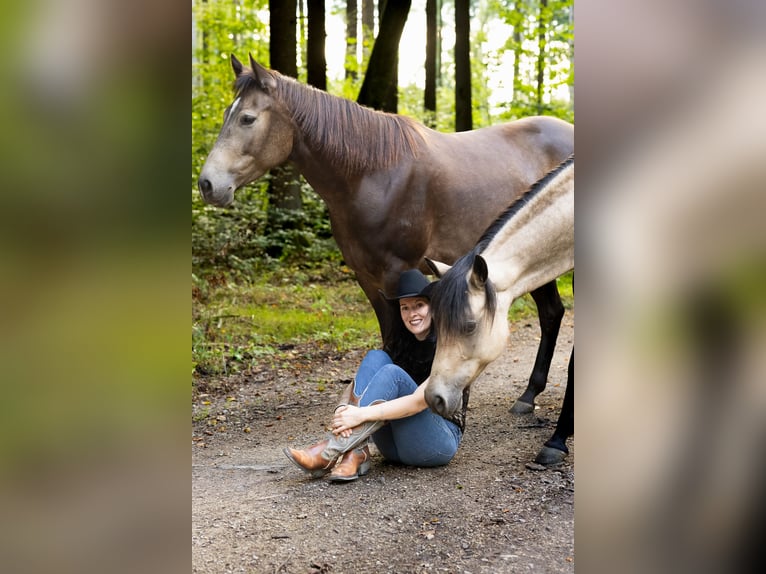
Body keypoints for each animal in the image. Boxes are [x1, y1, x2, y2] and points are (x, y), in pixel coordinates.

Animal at [198, 54, 574, 414]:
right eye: (228, 114)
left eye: (247, 118)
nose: (207, 184)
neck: (374, 174)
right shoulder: (367, 277)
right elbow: (389, 340)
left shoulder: (397, 274)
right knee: (552, 313)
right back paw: (529, 395)